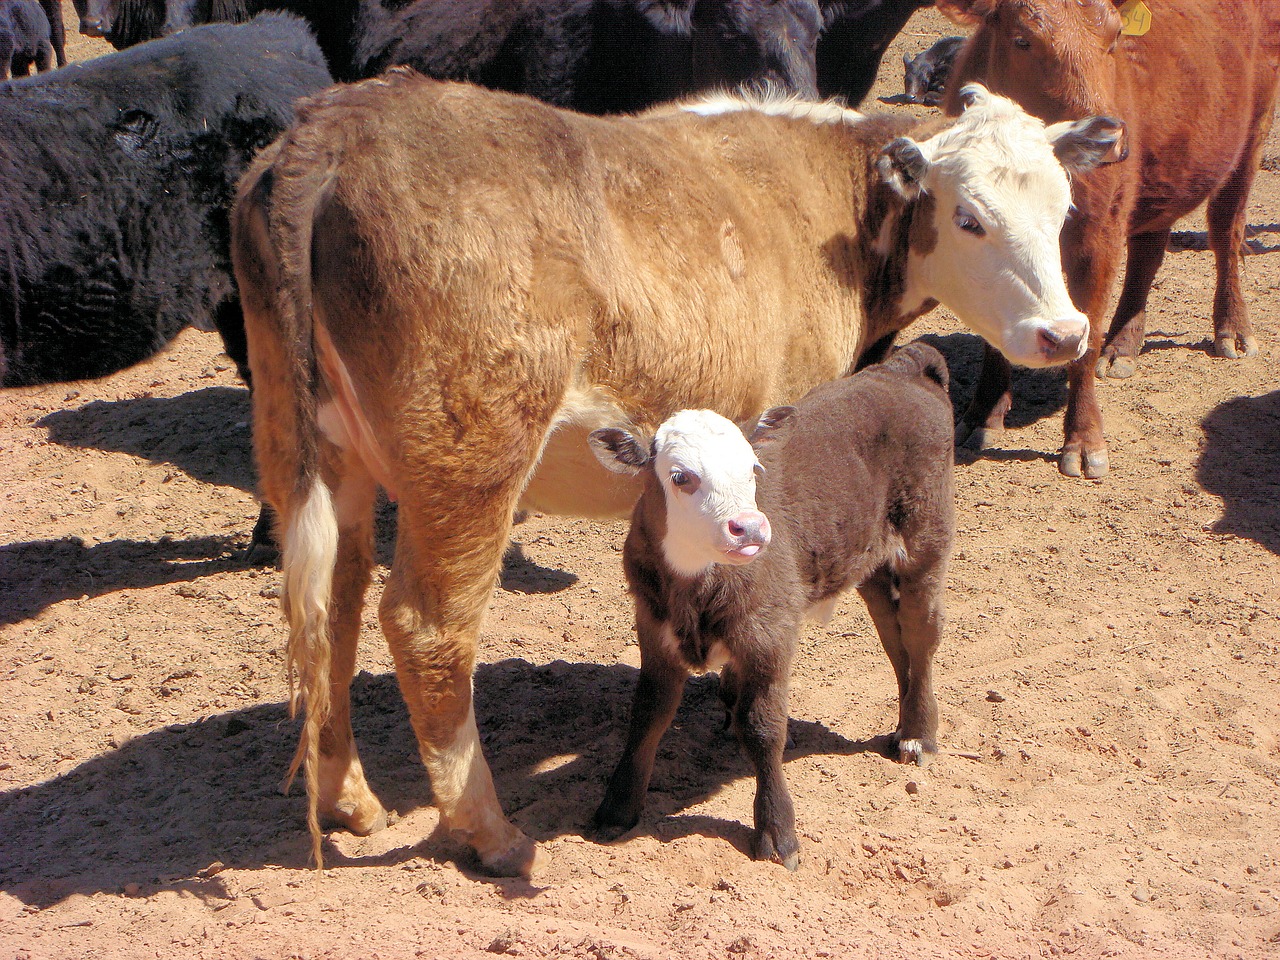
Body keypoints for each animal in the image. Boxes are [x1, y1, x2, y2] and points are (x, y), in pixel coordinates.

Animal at [230, 71, 1121, 875]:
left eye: (1062, 211)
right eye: (969, 217)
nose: (1065, 331)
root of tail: (336, 126)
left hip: (319, 447)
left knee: (331, 605)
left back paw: (348, 799)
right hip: (471, 463)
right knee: (427, 627)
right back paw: (490, 832)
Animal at [942, 0, 1280, 478]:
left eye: (1116, 37)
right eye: (1023, 39)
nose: (1108, 137)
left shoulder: (1097, 234)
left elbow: (1086, 336)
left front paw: (1084, 441)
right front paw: (982, 414)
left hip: (1252, 135)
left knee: (1225, 229)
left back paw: (1232, 329)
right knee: (1148, 251)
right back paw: (1124, 346)